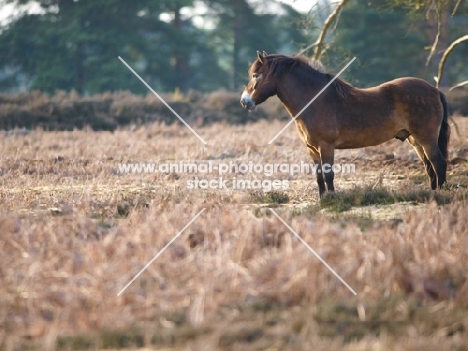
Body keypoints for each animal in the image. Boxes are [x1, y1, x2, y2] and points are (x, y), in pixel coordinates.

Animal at [241, 51, 450, 197]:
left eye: (256, 75)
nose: (244, 101)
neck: (315, 100)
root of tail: (434, 90)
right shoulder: (312, 149)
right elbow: (319, 176)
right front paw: (322, 199)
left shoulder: (326, 146)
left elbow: (328, 174)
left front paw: (332, 199)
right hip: (415, 141)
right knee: (429, 167)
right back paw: (431, 193)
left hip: (427, 139)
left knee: (438, 163)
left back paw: (440, 194)